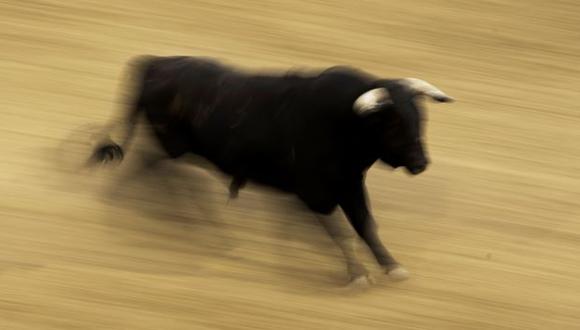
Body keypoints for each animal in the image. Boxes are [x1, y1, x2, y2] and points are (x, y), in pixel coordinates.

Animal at [89, 55, 454, 284]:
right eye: (392, 124)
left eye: (419, 119)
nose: (421, 164)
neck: (342, 124)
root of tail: (155, 63)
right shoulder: (316, 193)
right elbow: (342, 231)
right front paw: (357, 274)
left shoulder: (349, 185)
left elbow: (366, 226)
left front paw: (392, 268)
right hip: (174, 144)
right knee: (161, 170)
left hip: (176, 146)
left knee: (156, 168)